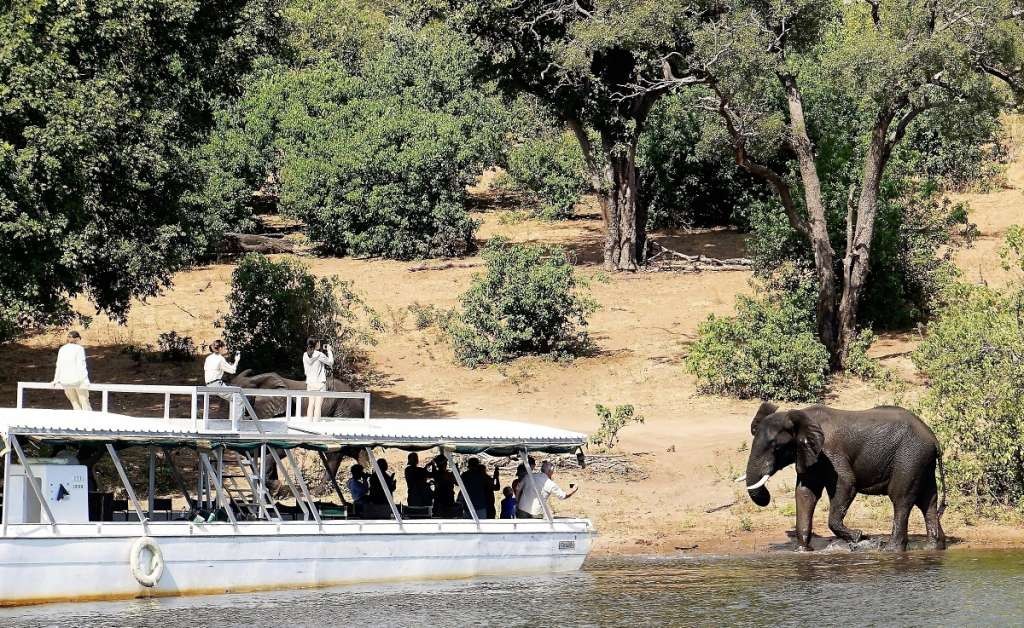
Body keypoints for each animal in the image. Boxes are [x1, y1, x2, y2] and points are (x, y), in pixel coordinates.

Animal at [744, 402, 946, 552]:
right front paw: (803, 550)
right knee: (928, 501)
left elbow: (847, 483)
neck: (799, 416)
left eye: (776, 447)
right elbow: (805, 493)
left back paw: (891, 550)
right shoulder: (810, 454)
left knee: (901, 500)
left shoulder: (830, 452)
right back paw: (933, 548)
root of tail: (934, 439)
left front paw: (859, 536)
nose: (766, 496)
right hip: (922, 462)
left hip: (910, 457)